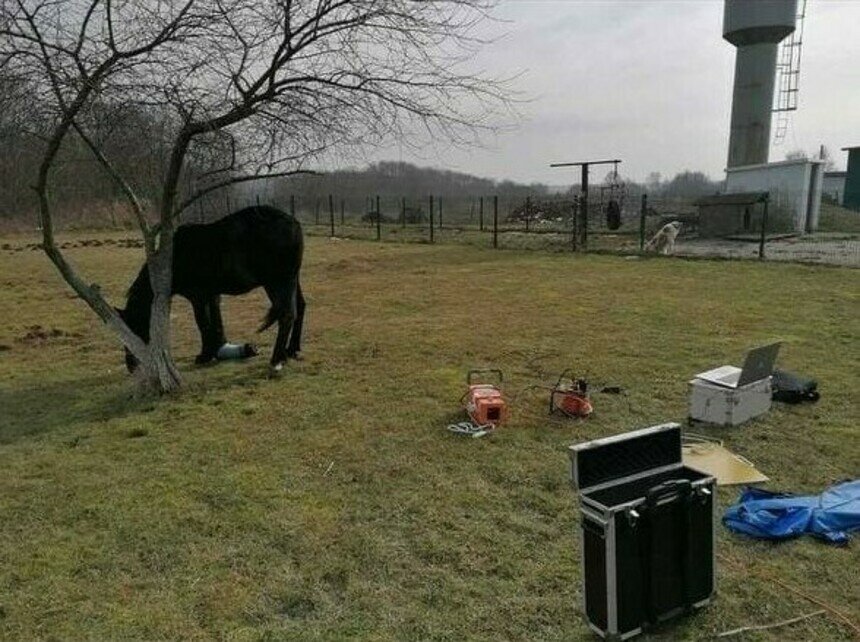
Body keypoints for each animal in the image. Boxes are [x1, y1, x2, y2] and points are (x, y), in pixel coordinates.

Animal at [117, 206, 306, 370]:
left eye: (131, 331)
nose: (131, 366)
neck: (174, 258)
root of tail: (294, 222)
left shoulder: (198, 296)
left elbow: (202, 323)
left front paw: (205, 355)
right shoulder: (213, 294)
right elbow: (215, 321)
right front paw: (218, 349)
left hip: (277, 283)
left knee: (287, 314)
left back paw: (277, 359)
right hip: (292, 280)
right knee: (300, 307)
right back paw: (292, 350)